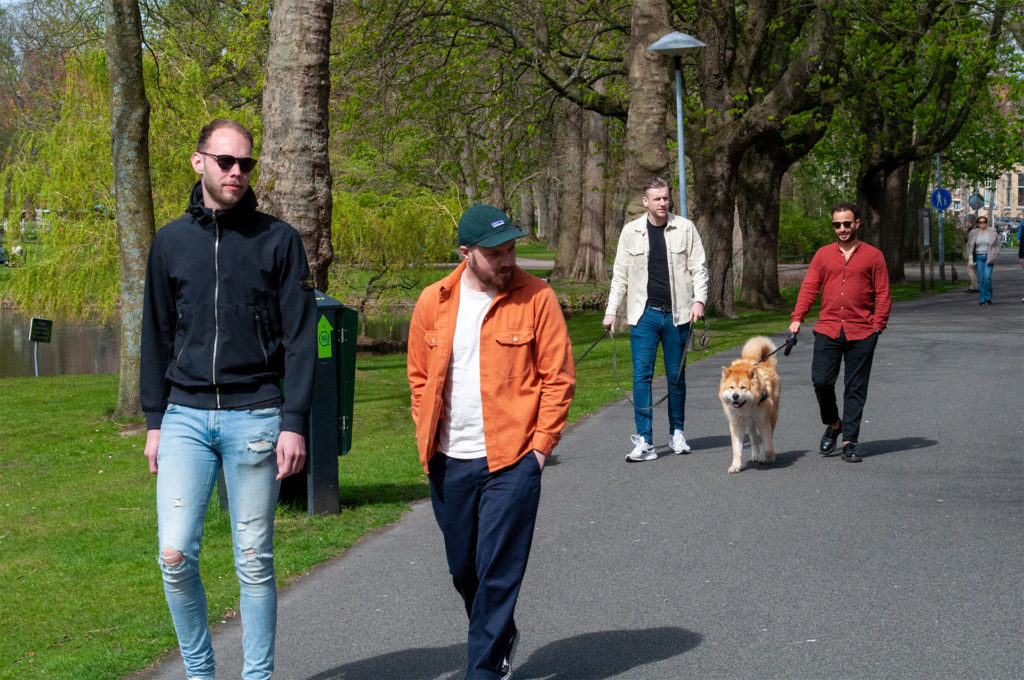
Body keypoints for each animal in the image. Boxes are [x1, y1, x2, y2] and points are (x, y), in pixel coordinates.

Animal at [720, 333, 782, 473]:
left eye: (743, 387)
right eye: (731, 387)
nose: (735, 396)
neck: (746, 409)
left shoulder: (763, 421)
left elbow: (767, 443)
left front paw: (768, 457)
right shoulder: (736, 425)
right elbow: (737, 450)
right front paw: (735, 465)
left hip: (771, 416)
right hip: (750, 423)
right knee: (753, 438)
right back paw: (755, 454)